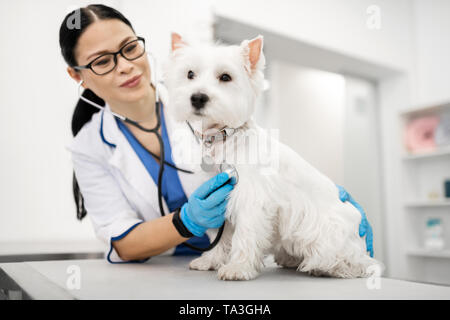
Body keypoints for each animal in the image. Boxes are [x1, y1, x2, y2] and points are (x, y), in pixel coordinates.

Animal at [163, 32, 382, 280]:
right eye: (190, 74)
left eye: (225, 77)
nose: (198, 98)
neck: (224, 140)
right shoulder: (217, 197)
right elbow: (220, 237)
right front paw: (210, 261)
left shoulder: (251, 198)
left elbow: (245, 234)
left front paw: (238, 267)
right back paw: (290, 258)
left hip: (330, 232)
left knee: (357, 262)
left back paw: (328, 266)